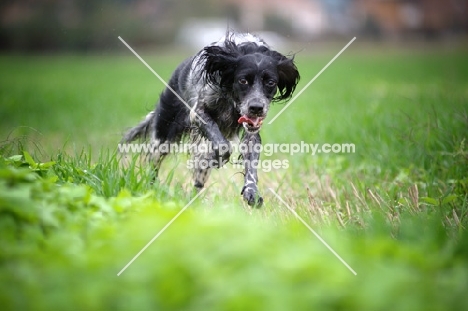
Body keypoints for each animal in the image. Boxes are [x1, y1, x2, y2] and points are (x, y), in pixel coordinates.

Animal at [123, 33, 300, 207]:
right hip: (162, 137)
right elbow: (223, 146)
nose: (256, 107)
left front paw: (251, 191)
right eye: (243, 80)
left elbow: (251, 165)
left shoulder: (251, 133)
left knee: (197, 181)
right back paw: (150, 190)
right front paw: (218, 158)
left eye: (270, 82)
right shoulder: (198, 112)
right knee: (152, 165)